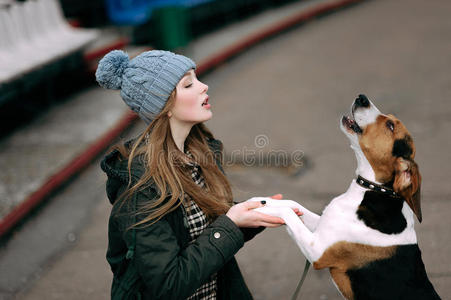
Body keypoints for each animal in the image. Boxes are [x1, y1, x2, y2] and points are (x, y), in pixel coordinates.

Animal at [249, 95, 440, 298]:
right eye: (389, 118)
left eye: (390, 126)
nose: (361, 98)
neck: (373, 190)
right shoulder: (324, 226)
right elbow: (293, 204)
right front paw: (261, 201)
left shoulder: (317, 251)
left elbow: (288, 212)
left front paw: (262, 209)